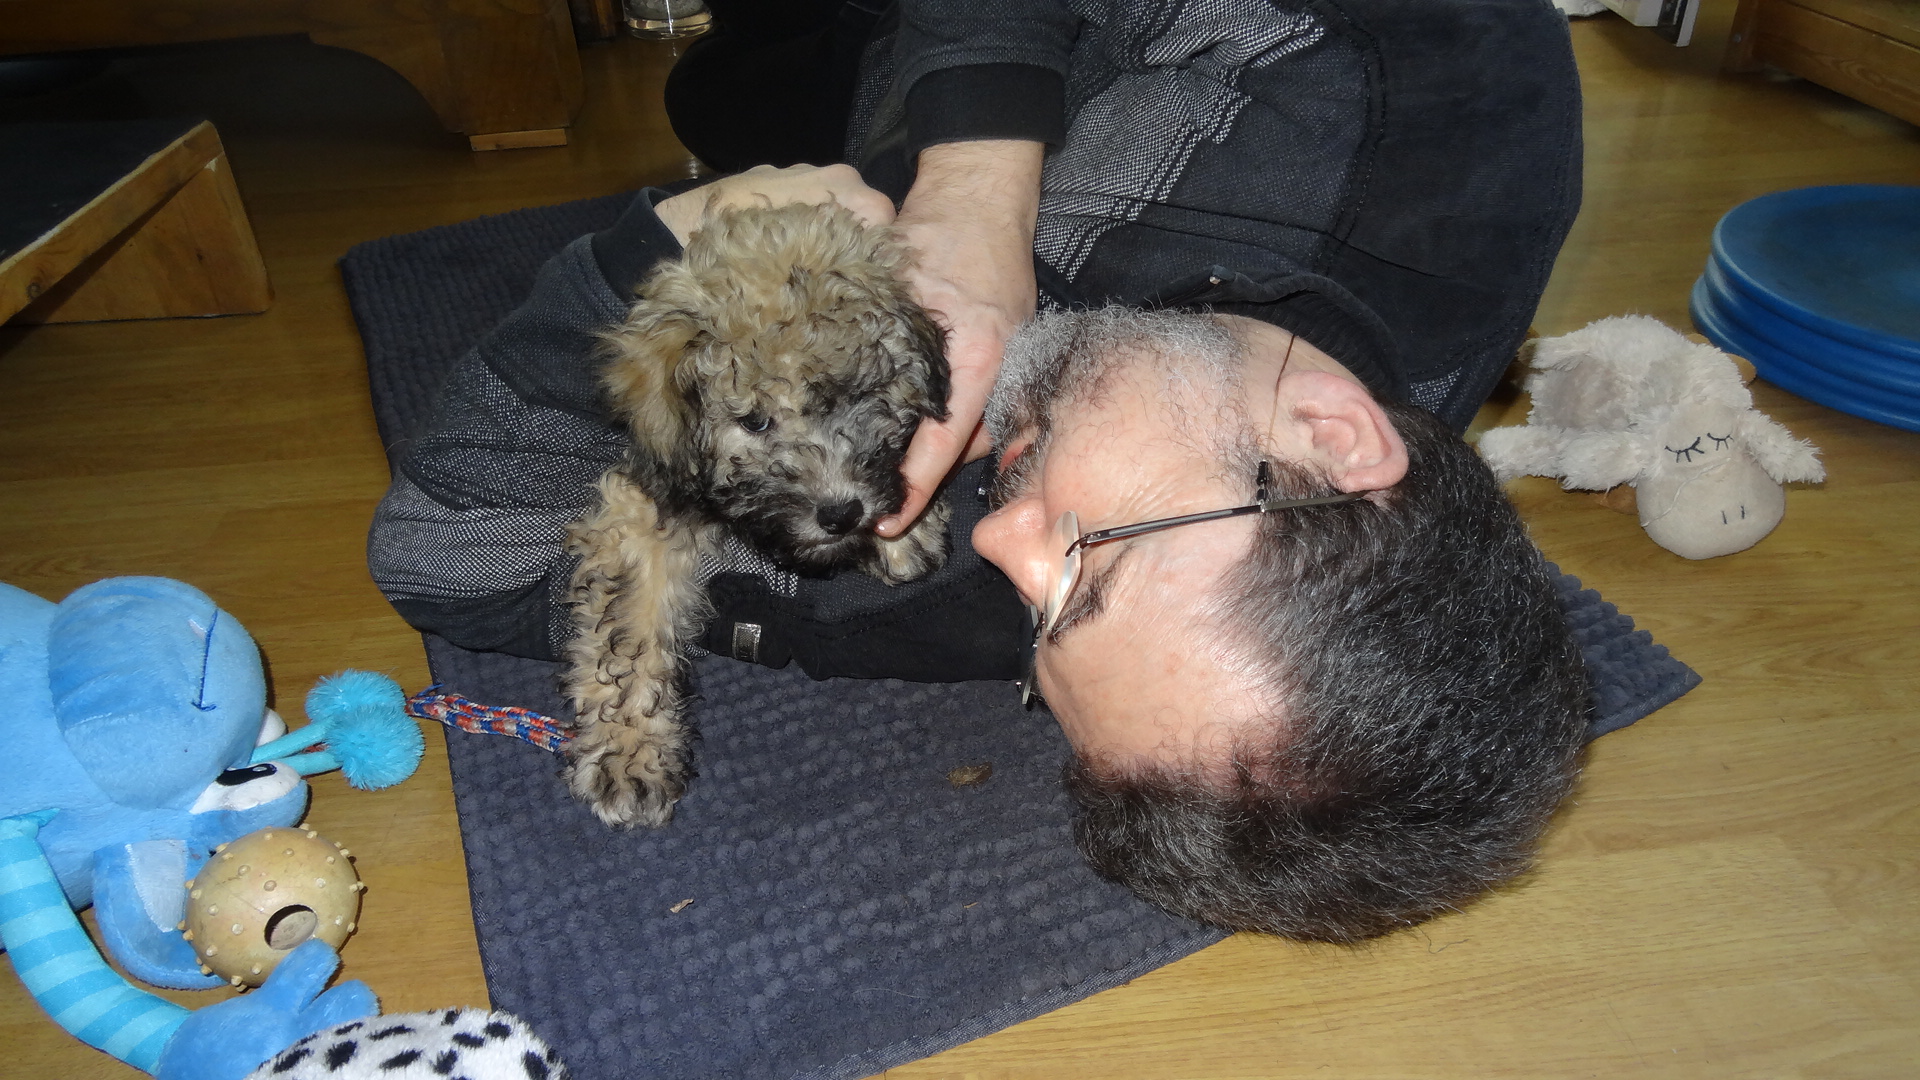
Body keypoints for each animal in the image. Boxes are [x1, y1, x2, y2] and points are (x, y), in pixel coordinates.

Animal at [562, 200, 952, 828]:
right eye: (755, 421)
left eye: (855, 397)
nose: (841, 513)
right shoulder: (647, 508)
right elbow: (630, 630)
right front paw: (630, 754)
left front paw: (903, 533)